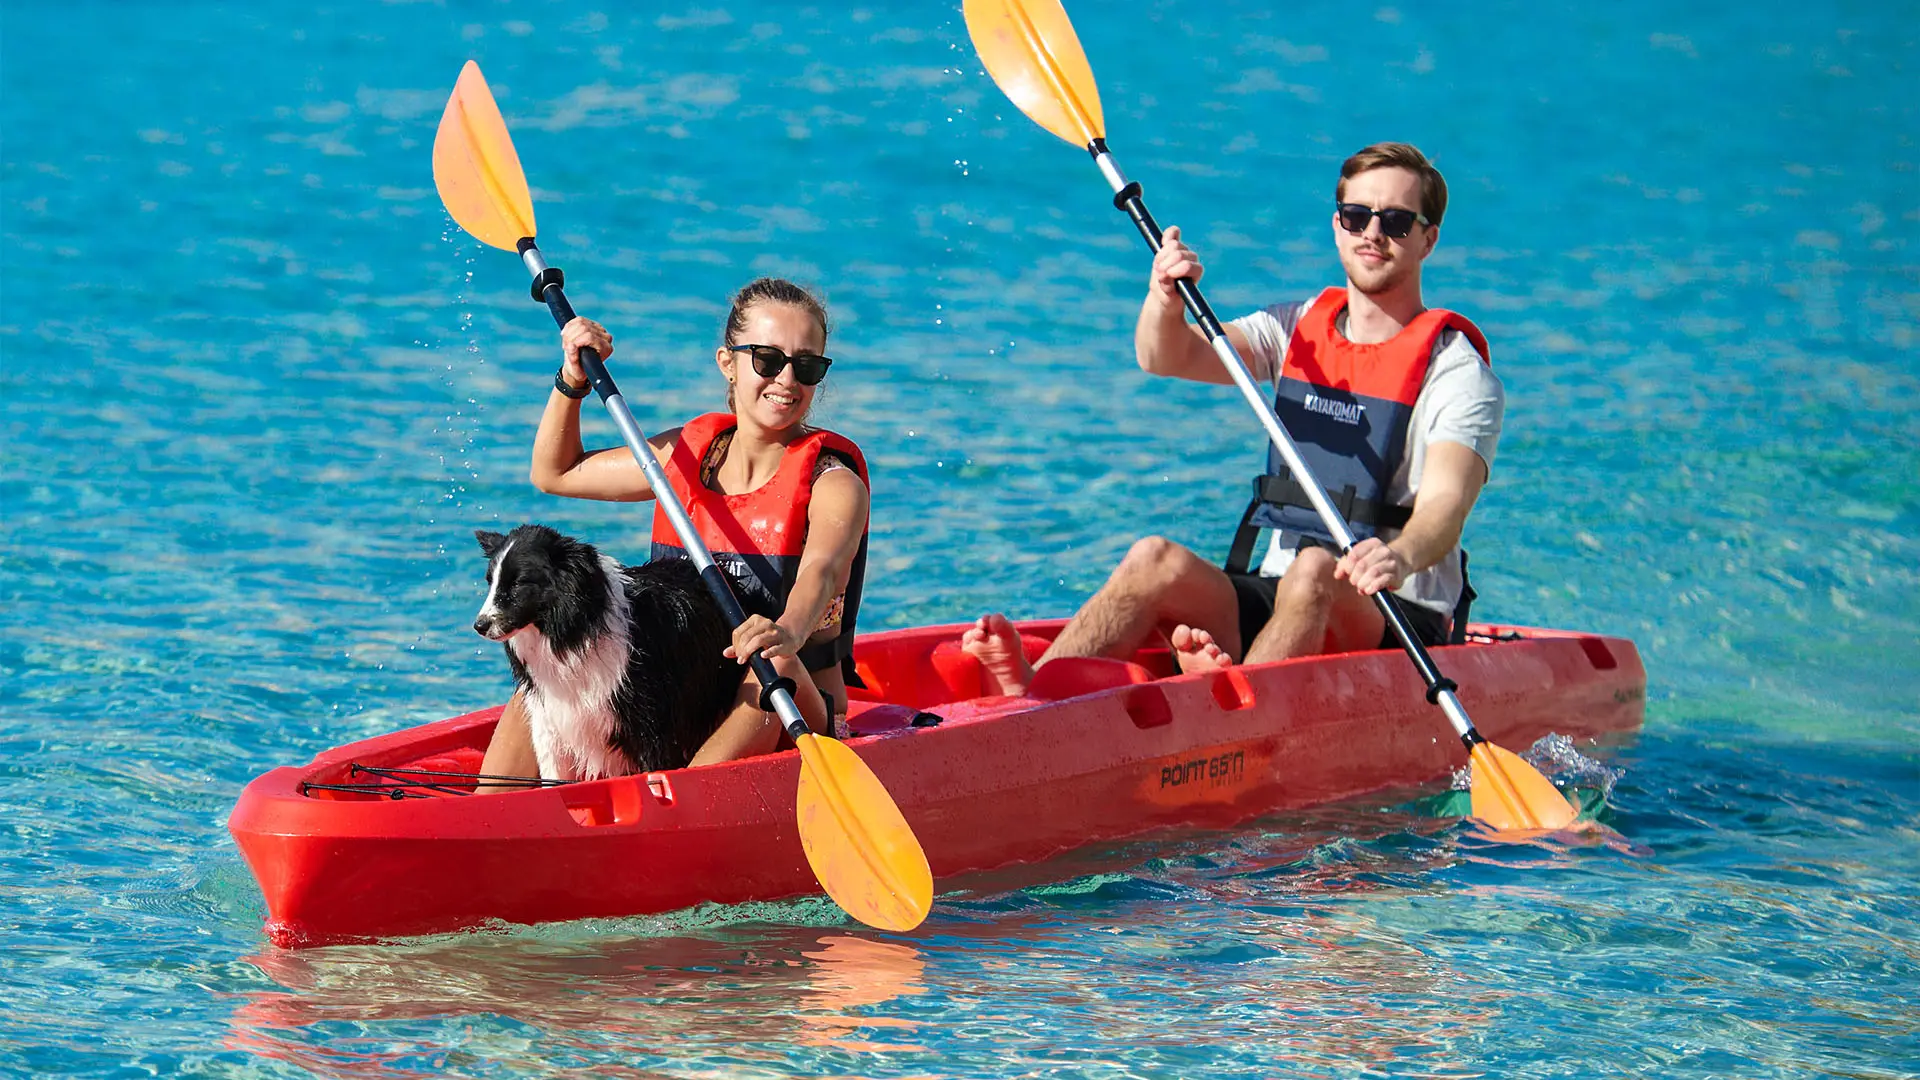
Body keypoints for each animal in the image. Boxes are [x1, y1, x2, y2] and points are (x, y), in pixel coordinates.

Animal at [472, 524, 740, 781]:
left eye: (518, 583)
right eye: (490, 581)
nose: (479, 625)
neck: (573, 634)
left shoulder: (653, 730)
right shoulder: (551, 723)